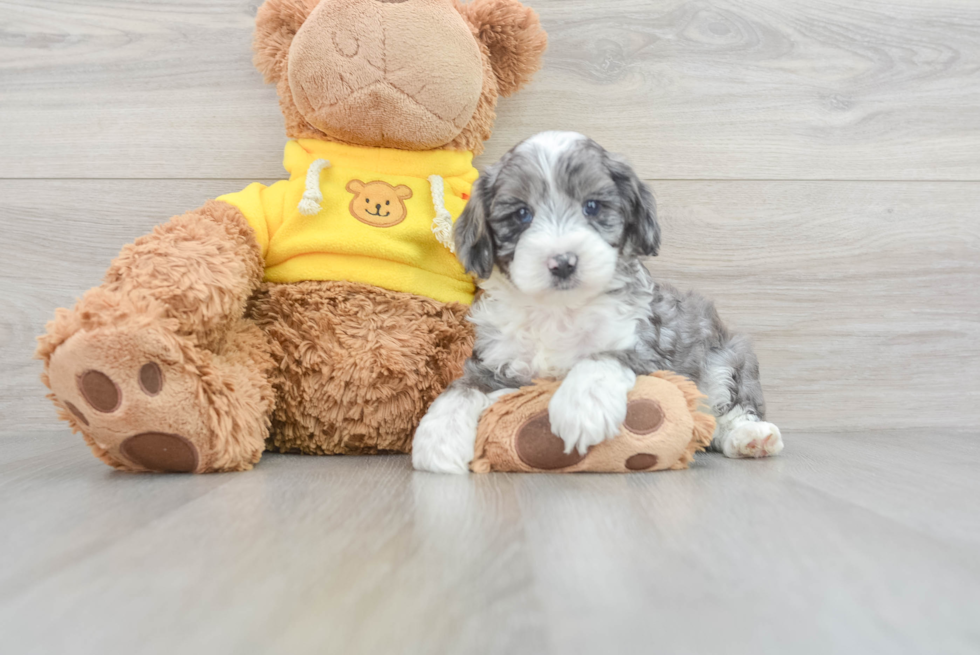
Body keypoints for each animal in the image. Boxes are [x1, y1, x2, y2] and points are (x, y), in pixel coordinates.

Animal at [412, 132, 780, 472]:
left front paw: (582, 407)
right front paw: (438, 438)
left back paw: (750, 437)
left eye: (592, 206)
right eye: (521, 214)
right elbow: (462, 388)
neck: (558, 310)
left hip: (725, 359)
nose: (562, 262)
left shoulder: (644, 347)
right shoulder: (493, 358)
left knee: (729, 412)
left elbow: (601, 358)